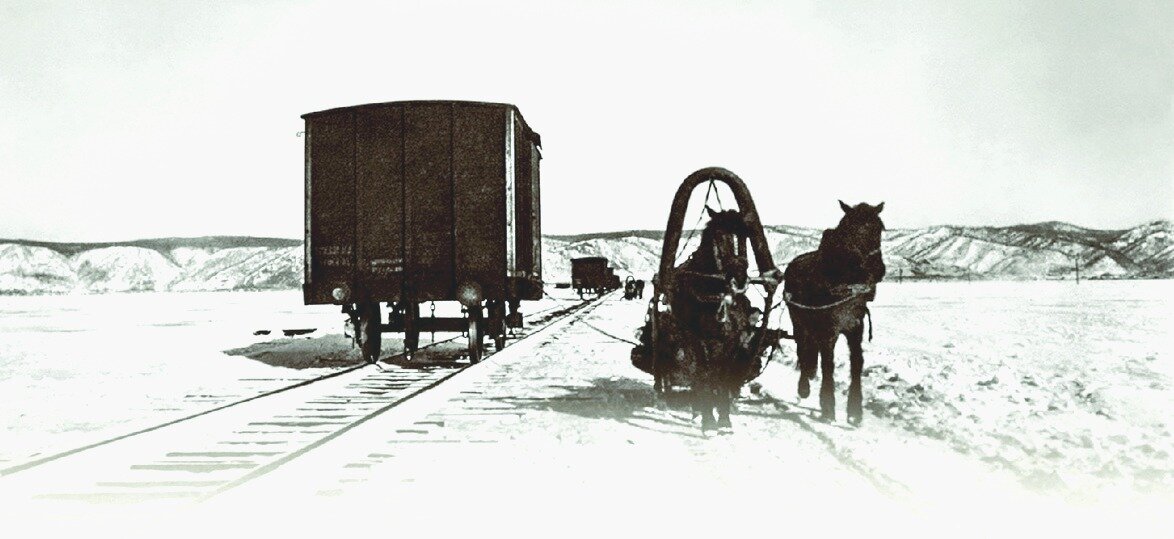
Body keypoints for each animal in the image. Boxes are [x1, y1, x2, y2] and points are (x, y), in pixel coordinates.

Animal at [666, 206, 756, 434]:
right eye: (720, 235)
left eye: (744, 236)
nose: (739, 277)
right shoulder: (699, 340)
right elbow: (705, 374)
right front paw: (708, 420)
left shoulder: (732, 341)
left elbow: (723, 375)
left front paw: (724, 419)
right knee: (699, 372)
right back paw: (698, 410)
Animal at [784, 200, 882, 425]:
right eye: (852, 228)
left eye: (880, 227)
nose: (879, 269)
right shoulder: (829, 329)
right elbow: (828, 363)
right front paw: (828, 406)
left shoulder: (855, 327)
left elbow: (857, 363)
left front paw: (855, 410)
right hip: (799, 321)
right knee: (802, 348)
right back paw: (804, 386)